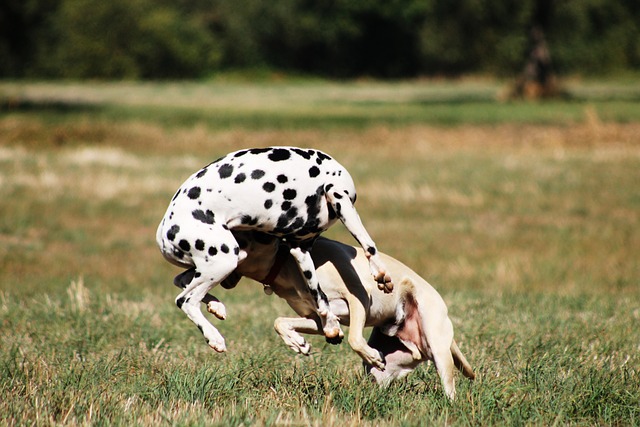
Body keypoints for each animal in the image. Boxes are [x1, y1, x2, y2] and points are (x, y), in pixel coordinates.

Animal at [158, 145, 392, 352]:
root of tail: (163, 233)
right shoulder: (338, 203)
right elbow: (367, 246)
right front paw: (380, 275)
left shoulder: (300, 249)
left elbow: (319, 297)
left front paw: (329, 326)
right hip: (223, 260)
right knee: (185, 300)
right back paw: (213, 336)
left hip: (229, 260)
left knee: (181, 280)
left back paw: (216, 305)